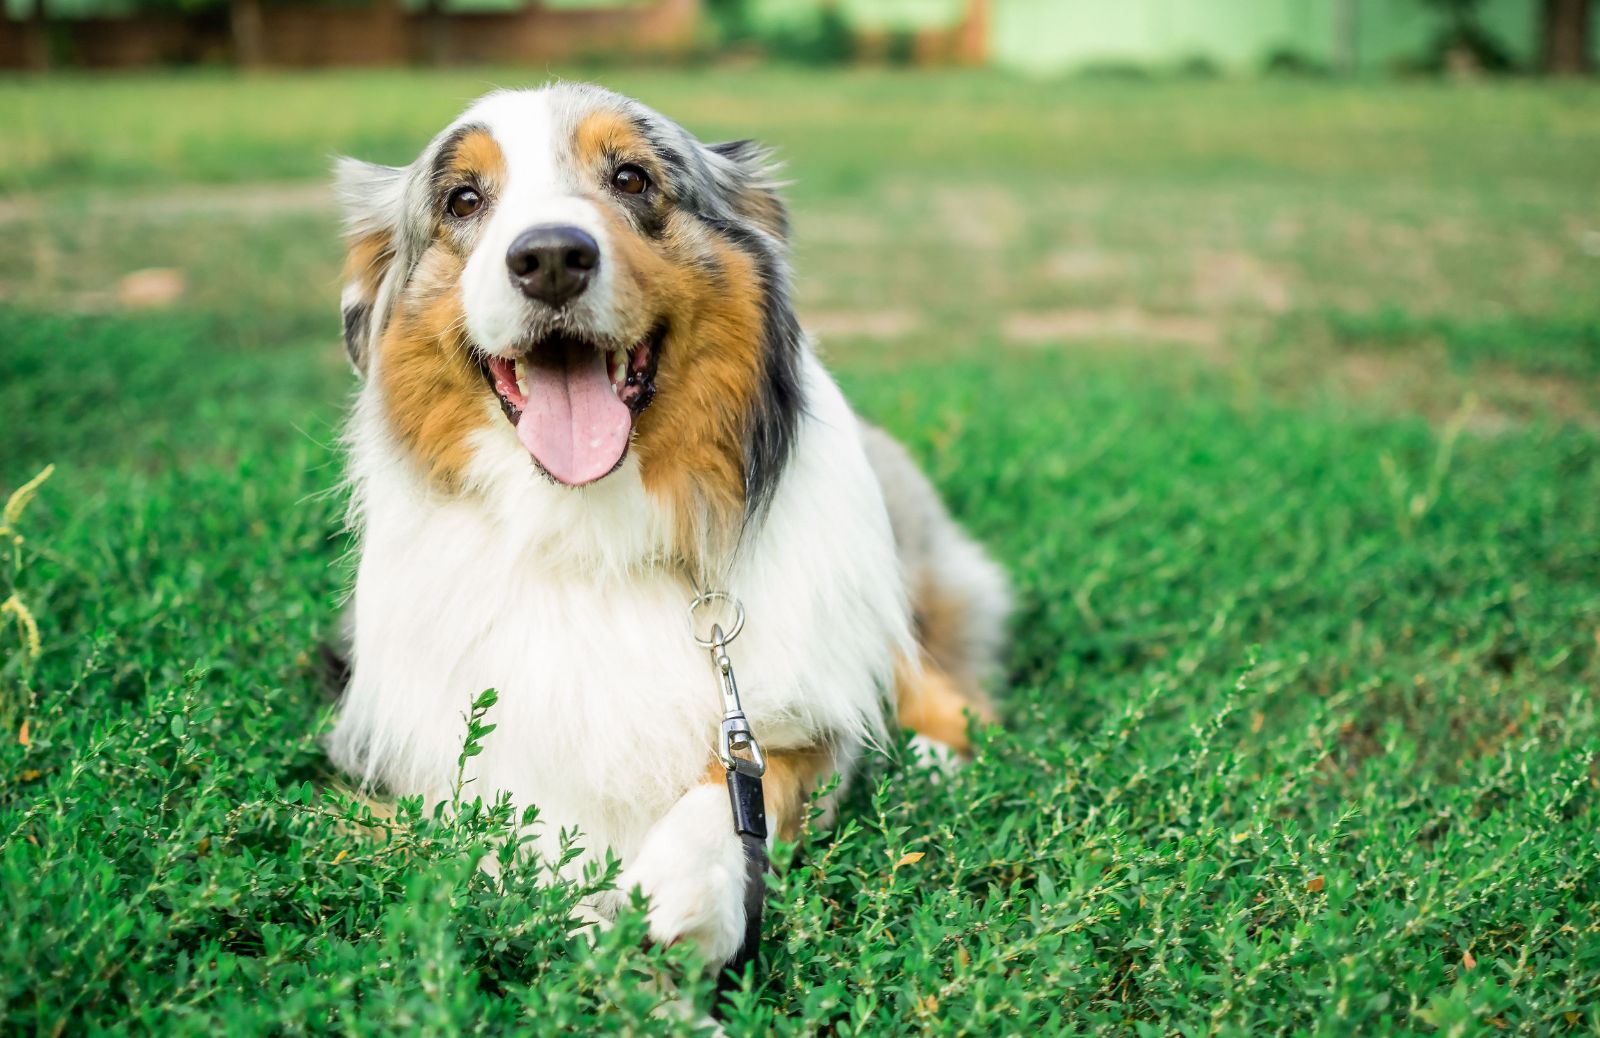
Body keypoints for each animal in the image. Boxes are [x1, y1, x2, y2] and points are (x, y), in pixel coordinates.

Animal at [329, 85, 1004, 966]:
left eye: (631, 177)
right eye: (464, 200)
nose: (551, 257)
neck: (592, 528)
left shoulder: (797, 721)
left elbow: (743, 782)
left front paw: (687, 890)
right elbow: (520, 834)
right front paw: (589, 919)